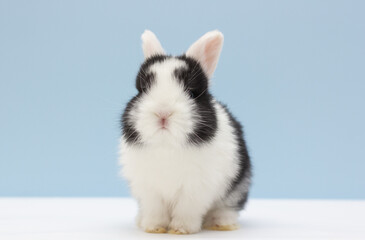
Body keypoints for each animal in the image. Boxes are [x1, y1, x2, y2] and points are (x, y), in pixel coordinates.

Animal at [118, 29, 250, 233]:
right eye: (143, 90)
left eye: (192, 92)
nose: (163, 113)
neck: (167, 146)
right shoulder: (149, 191)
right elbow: (155, 210)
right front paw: (154, 228)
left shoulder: (195, 190)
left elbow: (186, 210)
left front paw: (180, 230)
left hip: (236, 189)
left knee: (227, 208)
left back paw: (221, 224)